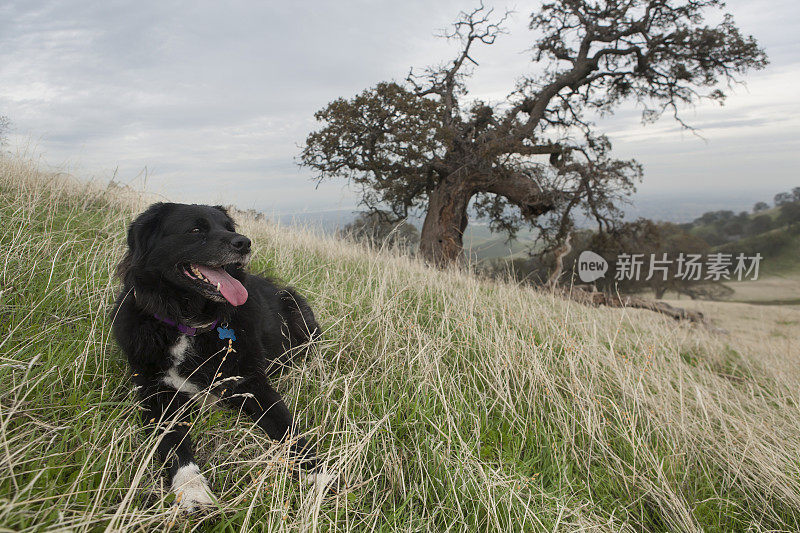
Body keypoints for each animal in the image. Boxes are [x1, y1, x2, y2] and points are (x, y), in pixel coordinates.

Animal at [111, 202, 324, 510]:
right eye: (195, 229)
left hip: (298, 311)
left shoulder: (252, 384)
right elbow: (174, 445)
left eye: (228, 228)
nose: (245, 243)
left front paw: (315, 472)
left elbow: (288, 428)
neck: (191, 325)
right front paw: (192, 489)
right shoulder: (156, 393)